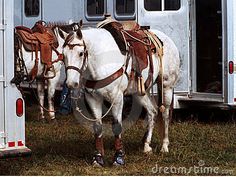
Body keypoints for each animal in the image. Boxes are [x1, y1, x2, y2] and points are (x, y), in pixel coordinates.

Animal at [58, 24, 180, 165]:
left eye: (81, 53)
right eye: (63, 55)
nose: (71, 83)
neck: (100, 61)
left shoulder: (117, 98)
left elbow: (117, 126)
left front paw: (119, 158)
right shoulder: (92, 98)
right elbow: (97, 126)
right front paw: (98, 158)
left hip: (166, 86)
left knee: (165, 113)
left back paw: (164, 146)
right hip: (141, 92)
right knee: (152, 112)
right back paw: (146, 145)